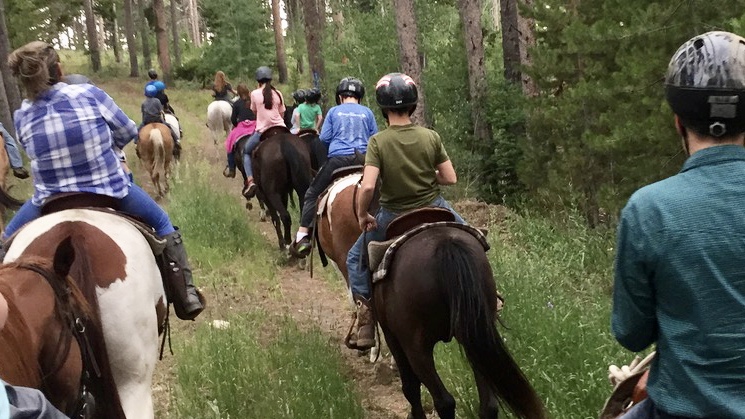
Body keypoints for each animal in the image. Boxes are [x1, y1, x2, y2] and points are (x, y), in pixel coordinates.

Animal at [374, 226, 544, 419]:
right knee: (489, 405)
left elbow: (410, 387)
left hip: (417, 348)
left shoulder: (393, 337)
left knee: (443, 401)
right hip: (477, 342)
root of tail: (447, 245)